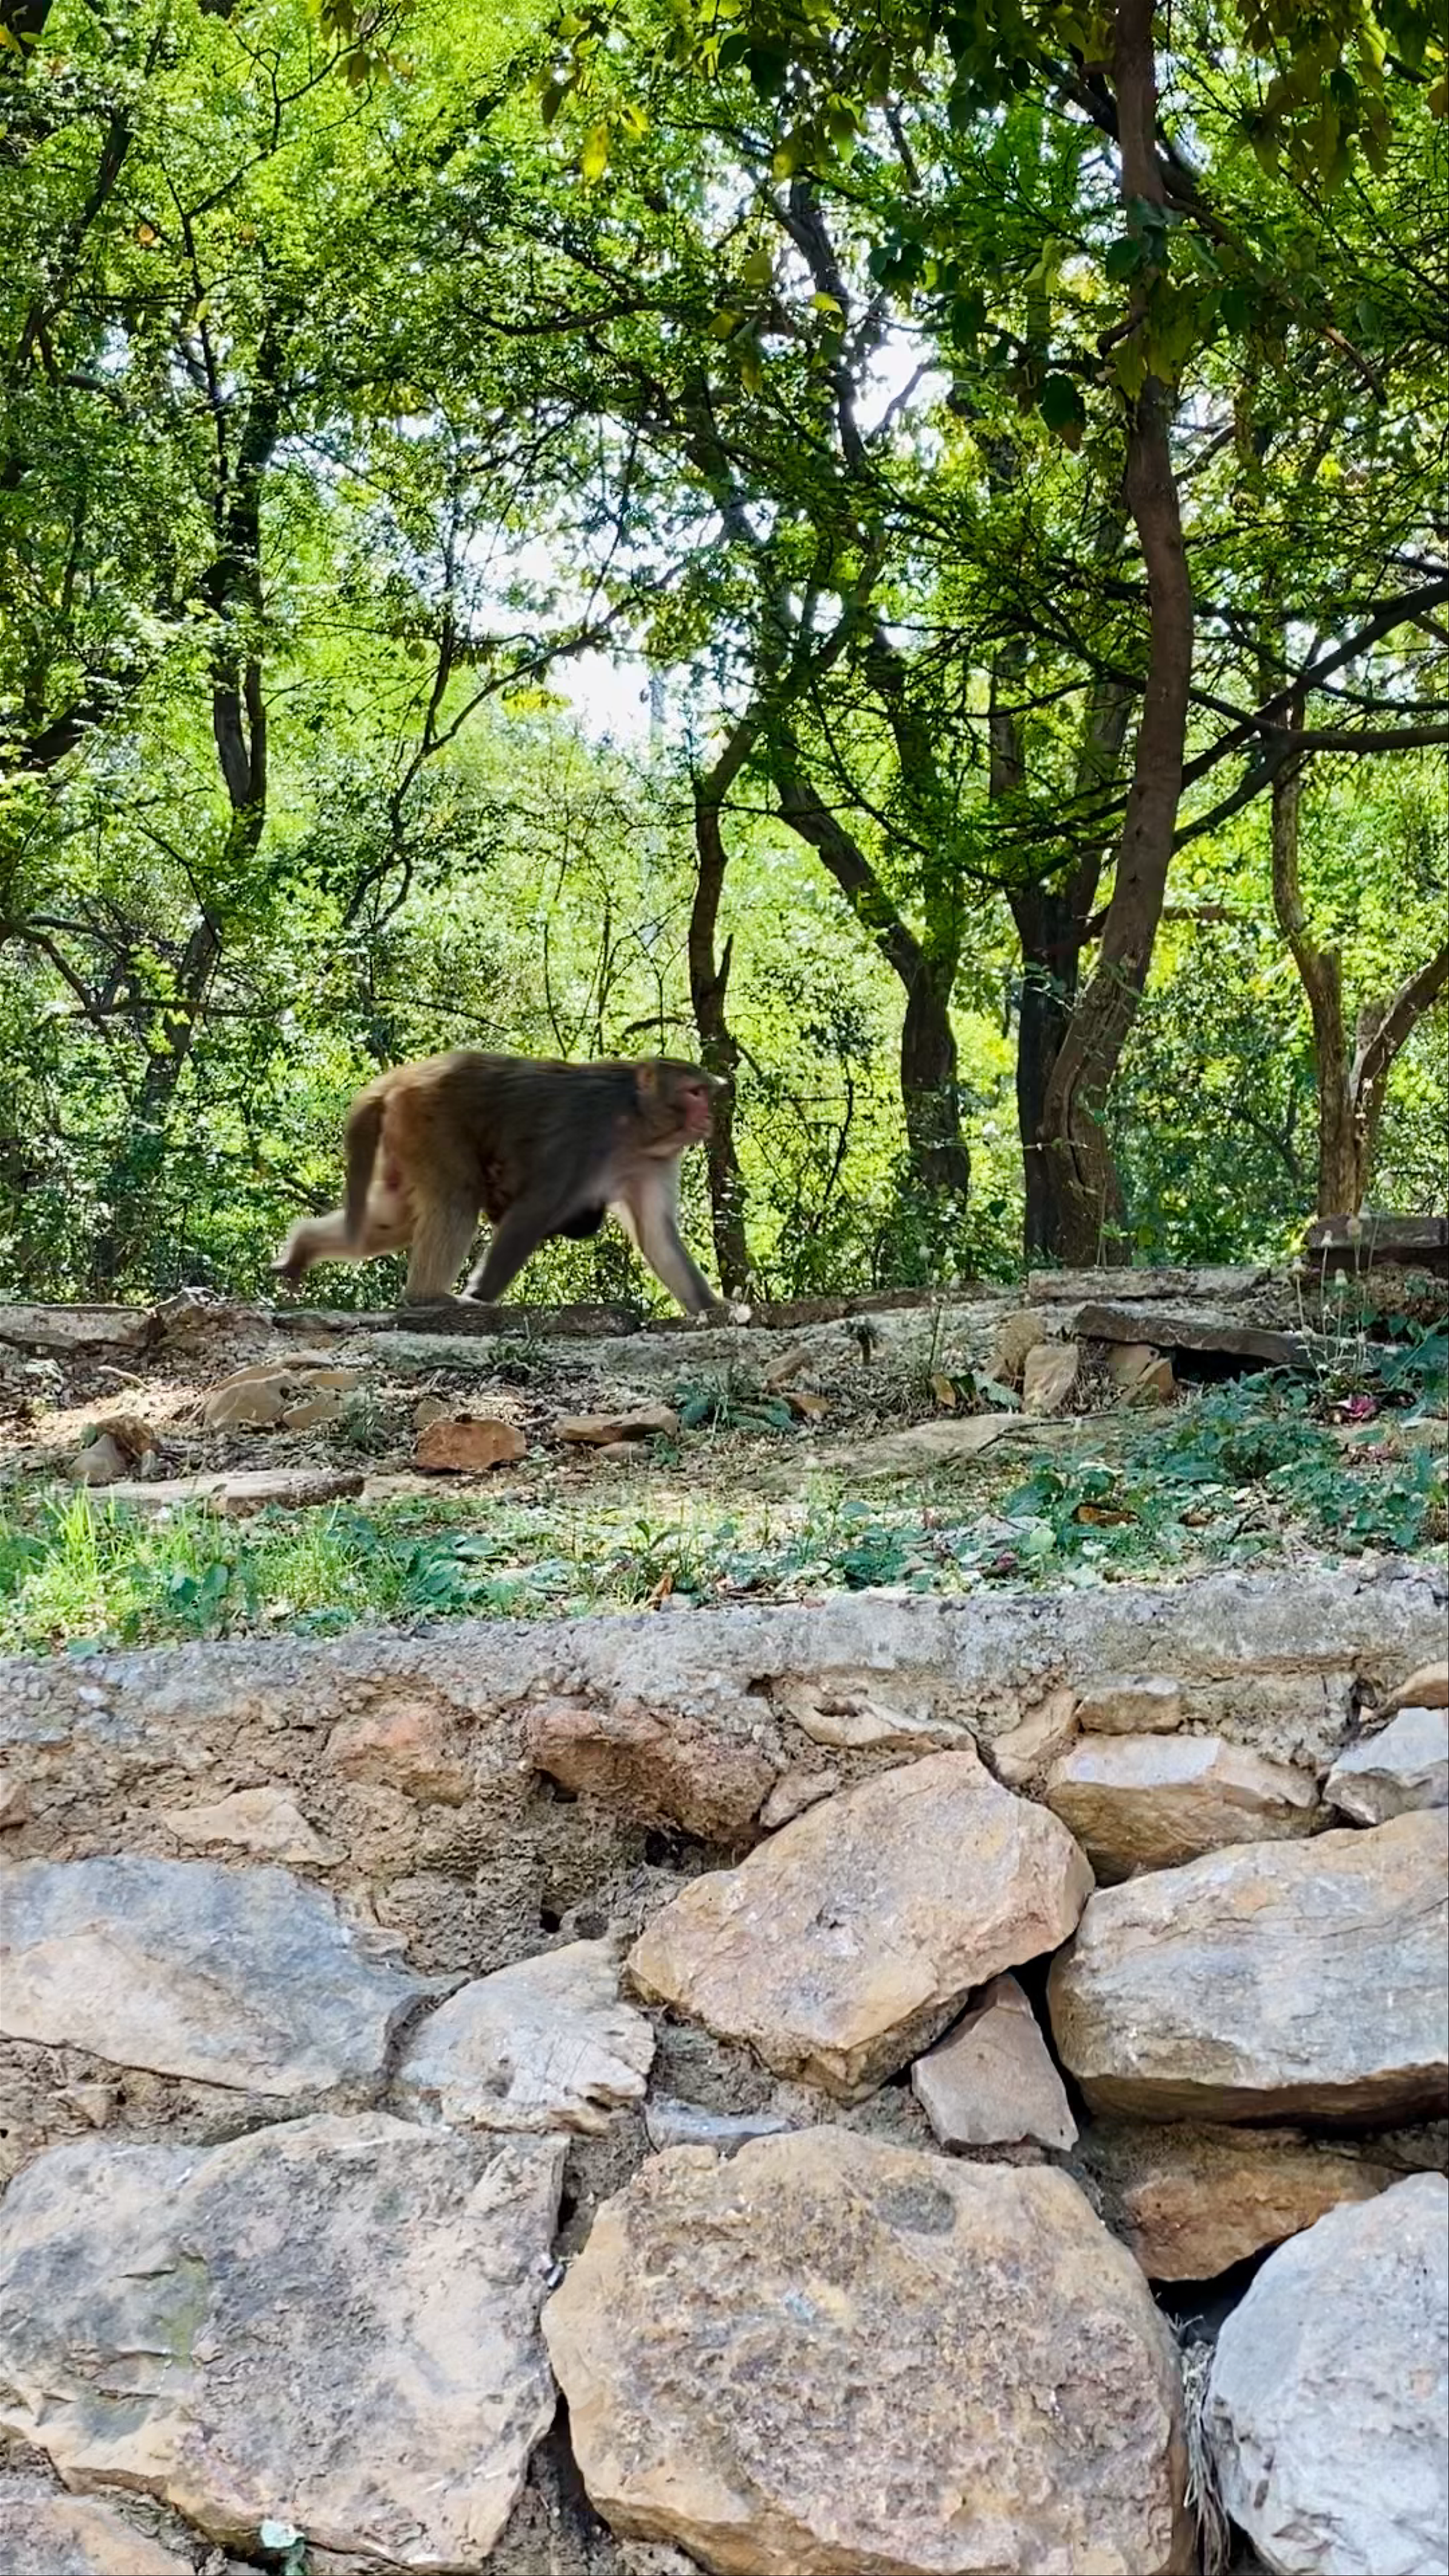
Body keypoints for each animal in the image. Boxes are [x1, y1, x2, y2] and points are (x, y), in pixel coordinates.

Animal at [272, 1050, 727, 1315]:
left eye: (706, 1093)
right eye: (694, 1092)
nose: (709, 1116)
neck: (636, 1121)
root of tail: (402, 1077)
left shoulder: (656, 1161)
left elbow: (657, 1236)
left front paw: (712, 1307)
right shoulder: (583, 1134)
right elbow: (533, 1212)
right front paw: (481, 1296)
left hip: (405, 1135)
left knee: (390, 1221)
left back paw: (303, 1248)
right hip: (430, 1119)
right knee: (457, 1199)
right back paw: (428, 1297)